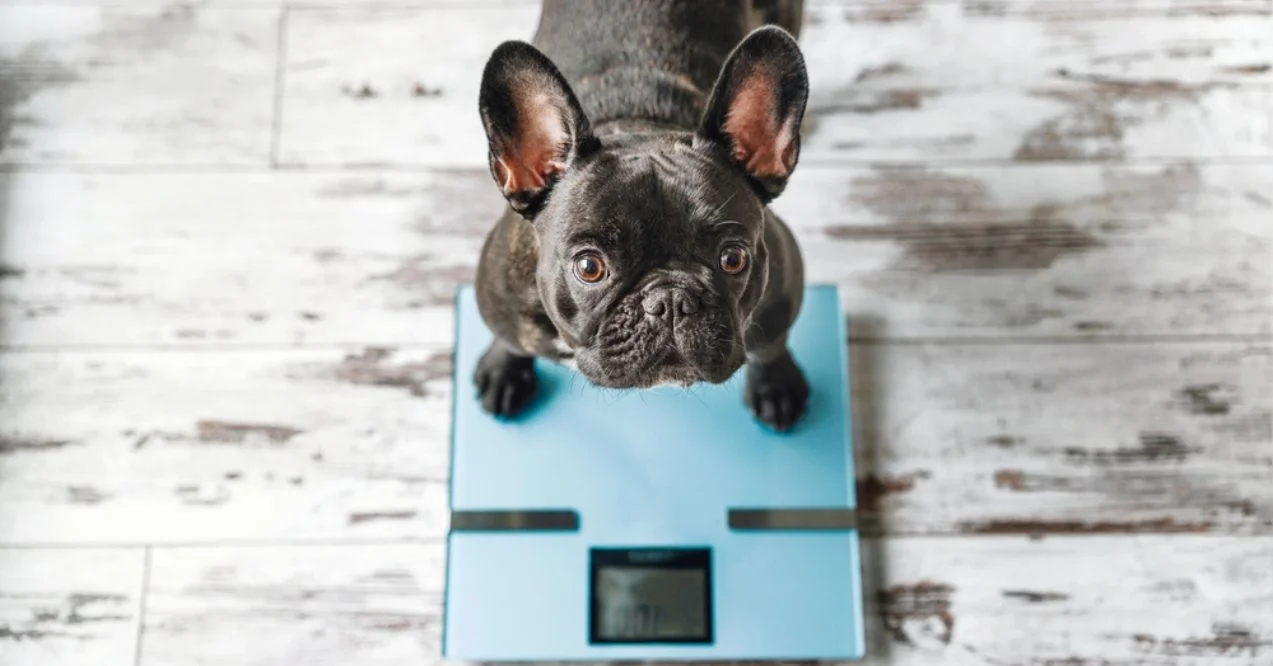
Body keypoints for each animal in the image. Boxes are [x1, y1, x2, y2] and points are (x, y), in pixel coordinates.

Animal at [473, 0, 809, 432]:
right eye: (589, 267)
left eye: (733, 258)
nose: (670, 300)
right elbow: (509, 338)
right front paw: (504, 370)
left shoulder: (781, 291)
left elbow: (771, 344)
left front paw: (775, 385)